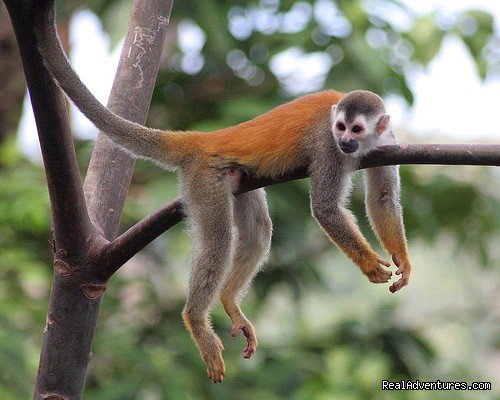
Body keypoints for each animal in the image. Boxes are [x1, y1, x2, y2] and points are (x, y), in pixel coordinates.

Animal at [34, 4, 410, 382]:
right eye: (340, 127)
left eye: (356, 129)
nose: (345, 140)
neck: (355, 144)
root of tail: (209, 138)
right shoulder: (327, 147)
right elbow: (325, 208)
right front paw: (368, 263)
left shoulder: (386, 142)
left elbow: (381, 198)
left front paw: (402, 261)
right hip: (204, 177)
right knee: (217, 242)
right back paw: (197, 320)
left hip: (239, 177)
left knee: (258, 231)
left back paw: (229, 299)